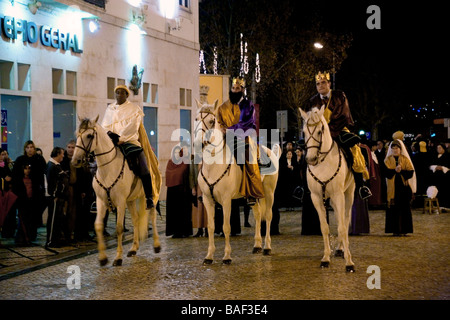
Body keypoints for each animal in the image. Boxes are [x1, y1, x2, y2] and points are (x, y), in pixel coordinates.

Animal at [71, 116, 161, 266]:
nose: (75, 161)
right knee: (136, 219)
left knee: (152, 216)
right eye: (77, 135)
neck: (108, 168)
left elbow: (119, 228)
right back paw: (133, 248)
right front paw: (103, 258)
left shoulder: (120, 202)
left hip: (150, 195)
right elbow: (98, 226)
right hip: (131, 200)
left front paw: (118, 258)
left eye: (89, 135)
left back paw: (156, 245)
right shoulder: (101, 201)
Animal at [194, 100, 280, 264]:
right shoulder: (208, 200)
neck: (213, 165)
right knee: (258, 215)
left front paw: (227, 256)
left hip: (269, 192)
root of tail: (271, 152)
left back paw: (267, 247)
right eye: (196, 119)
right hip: (253, 195)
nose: (198, 143)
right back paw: (257, 245)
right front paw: (209, 256)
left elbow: (226, 227)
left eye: (212, 121)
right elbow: (211, 227)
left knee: (268, 216)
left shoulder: (226, 201)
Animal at [298, 106, 356, 272]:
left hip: (348, 194)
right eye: (304, 132)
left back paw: (342, 249)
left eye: (319, 131)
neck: (323, 162)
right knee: (339, 218)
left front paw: (349, 262)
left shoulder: (338, 194)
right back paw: (338, 249)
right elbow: (324, 227)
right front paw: (325, 258)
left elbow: (342, 227)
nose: (310, 159)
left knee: (345, 219)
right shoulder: (316, 197)